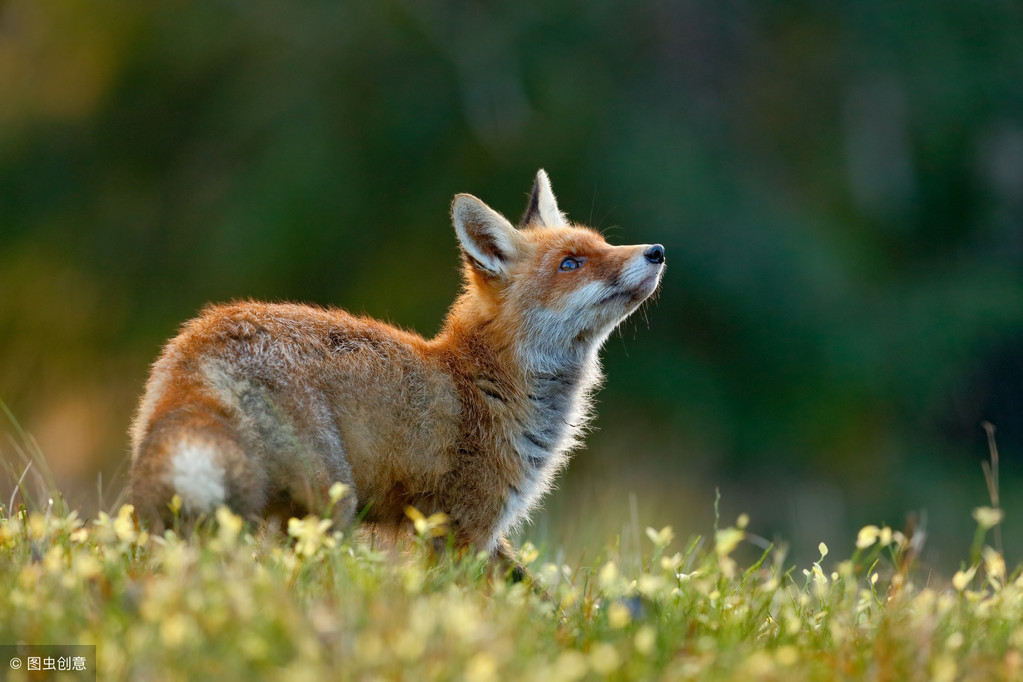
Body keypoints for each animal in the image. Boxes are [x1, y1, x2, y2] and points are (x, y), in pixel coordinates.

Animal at [127, 170, 662, 572]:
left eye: (602, 244)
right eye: (571, 263)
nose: (655, 251)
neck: (487, 379)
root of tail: (201, 344)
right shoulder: (465, 525)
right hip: (329, 504)